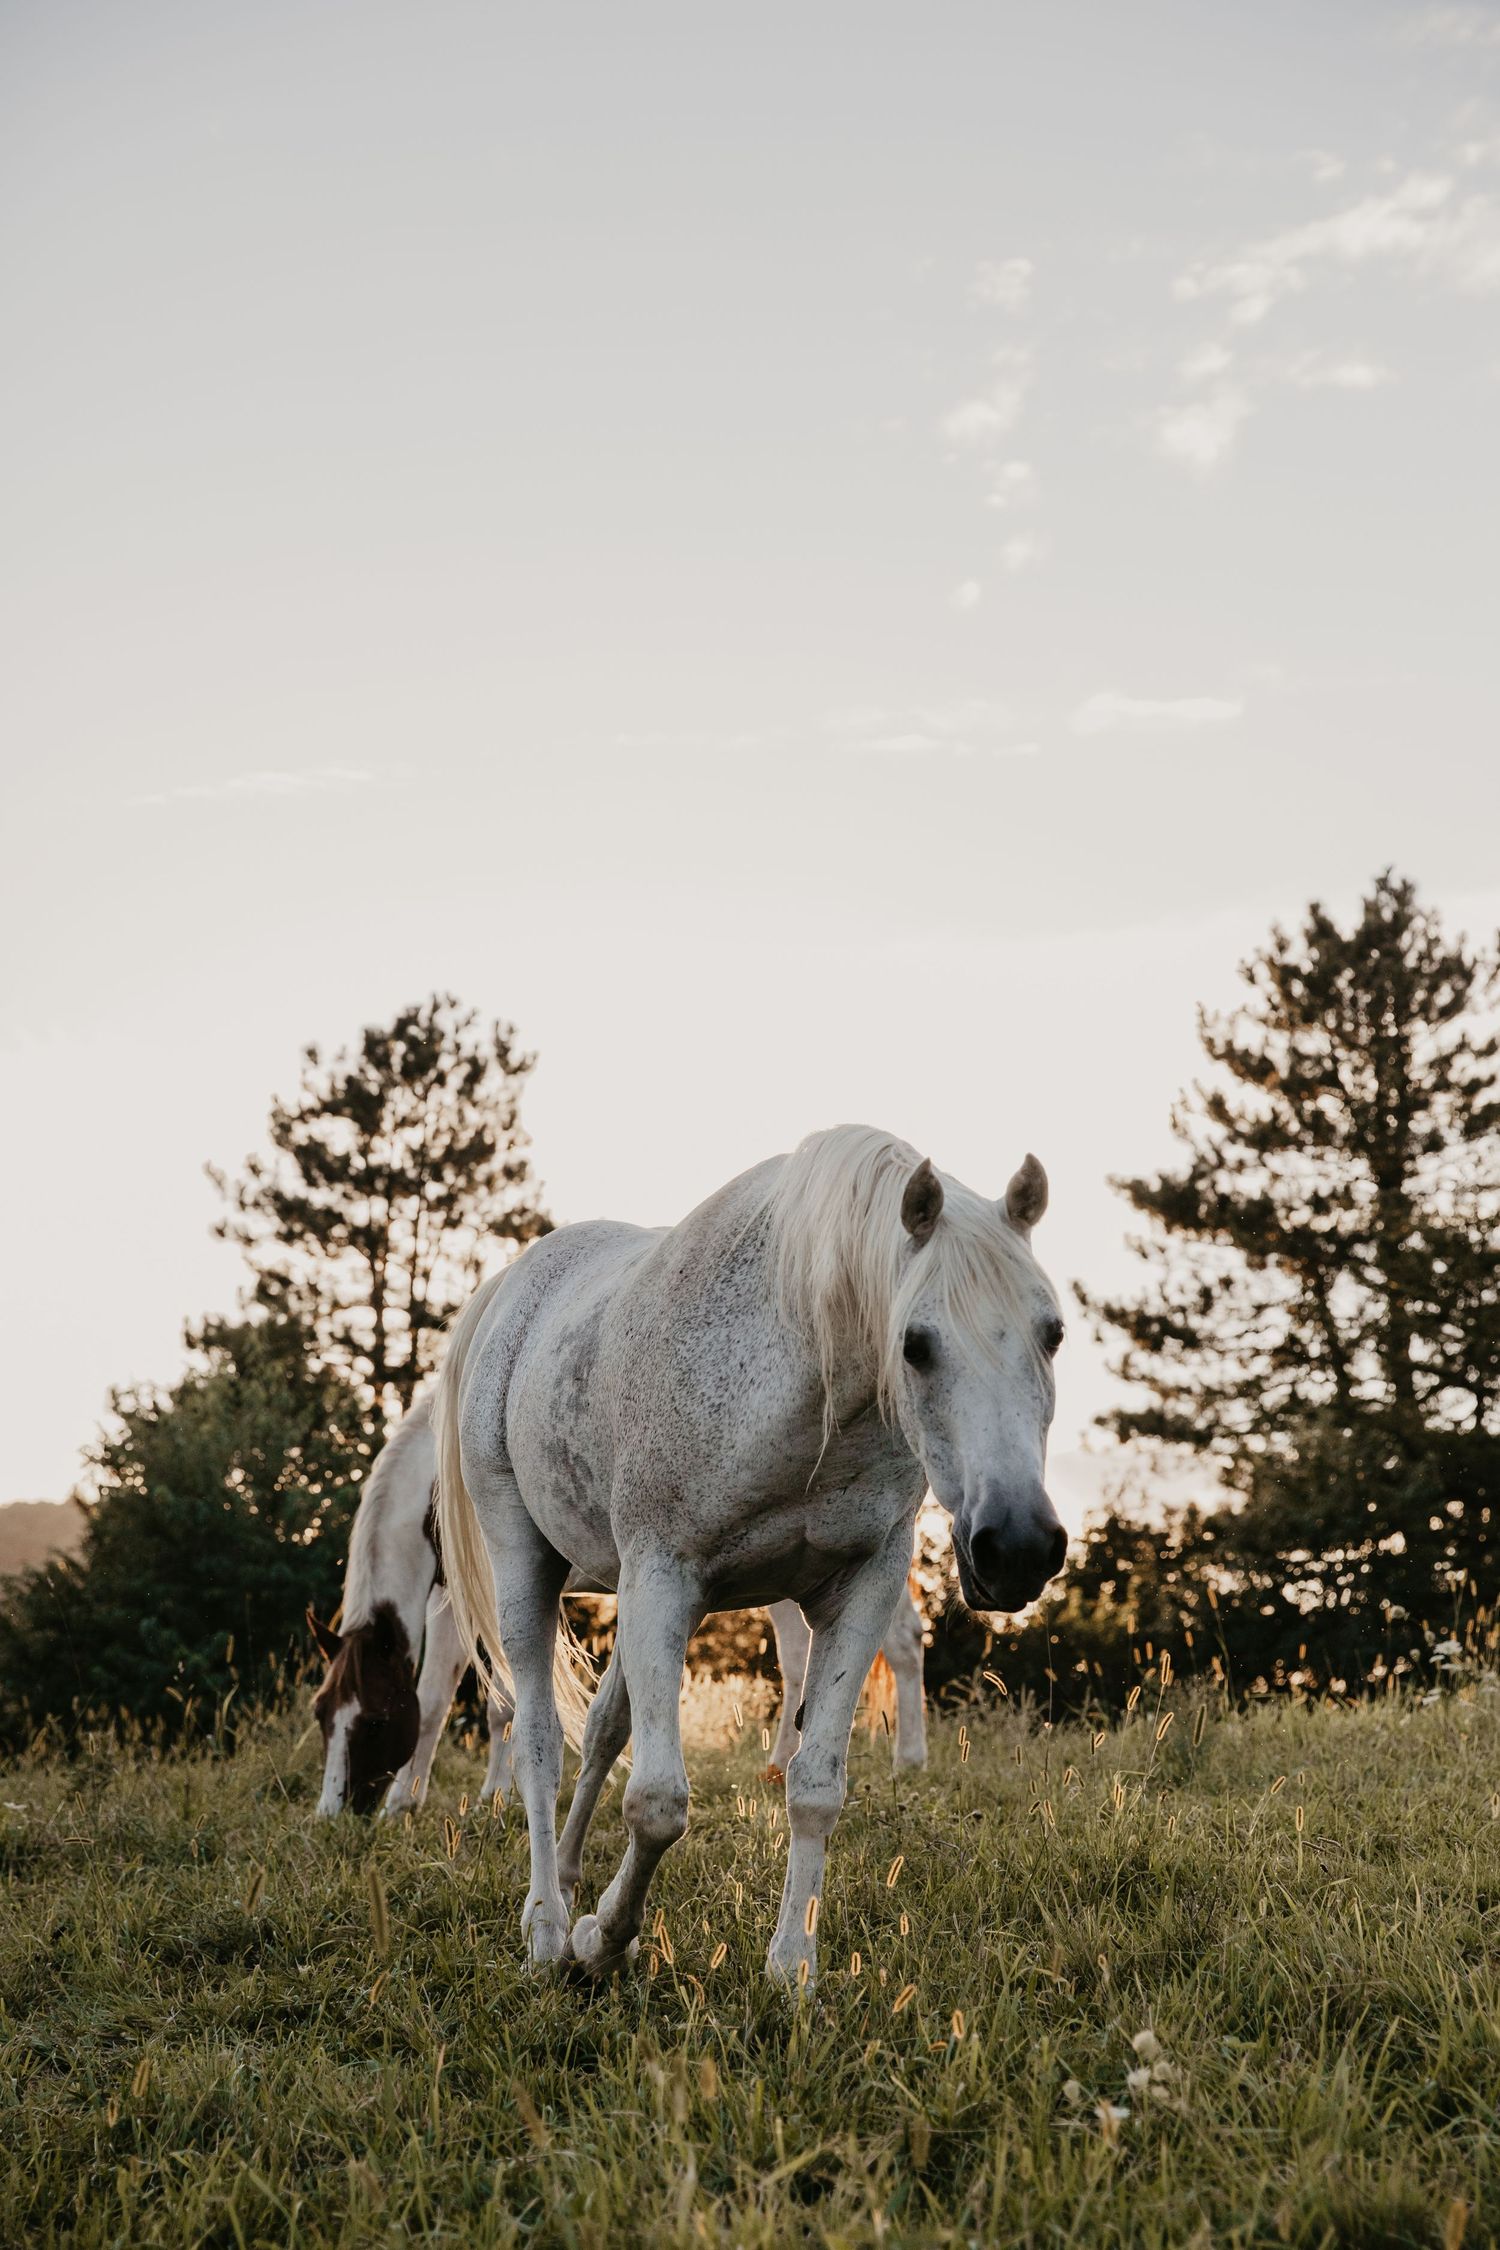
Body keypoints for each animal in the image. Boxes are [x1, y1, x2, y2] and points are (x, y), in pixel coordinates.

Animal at [310, 1394, 928, 1818]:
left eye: (374, 1722)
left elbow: (445, 1698)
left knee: (902, 1641)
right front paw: (492, 1793)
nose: (333, 1812)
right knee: (799, 1657)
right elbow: (498, 1702)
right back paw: (778, 1767)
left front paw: (409, 1802)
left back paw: (909, 1760)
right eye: (321, 1716)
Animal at [436, 1122, 1065, 1985]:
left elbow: (815, 1788)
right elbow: (658, 1803)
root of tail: (512, 1287)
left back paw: (566, 1878)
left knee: (600, 1732)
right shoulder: (664, 1578)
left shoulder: (858, 1589)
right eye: (915, 1345)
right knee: (536, 1745)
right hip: (526, 1570)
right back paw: (545, 1927)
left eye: (1053, 1333)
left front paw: (792, 1966)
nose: (1020, 1547)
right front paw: (602, 1939)